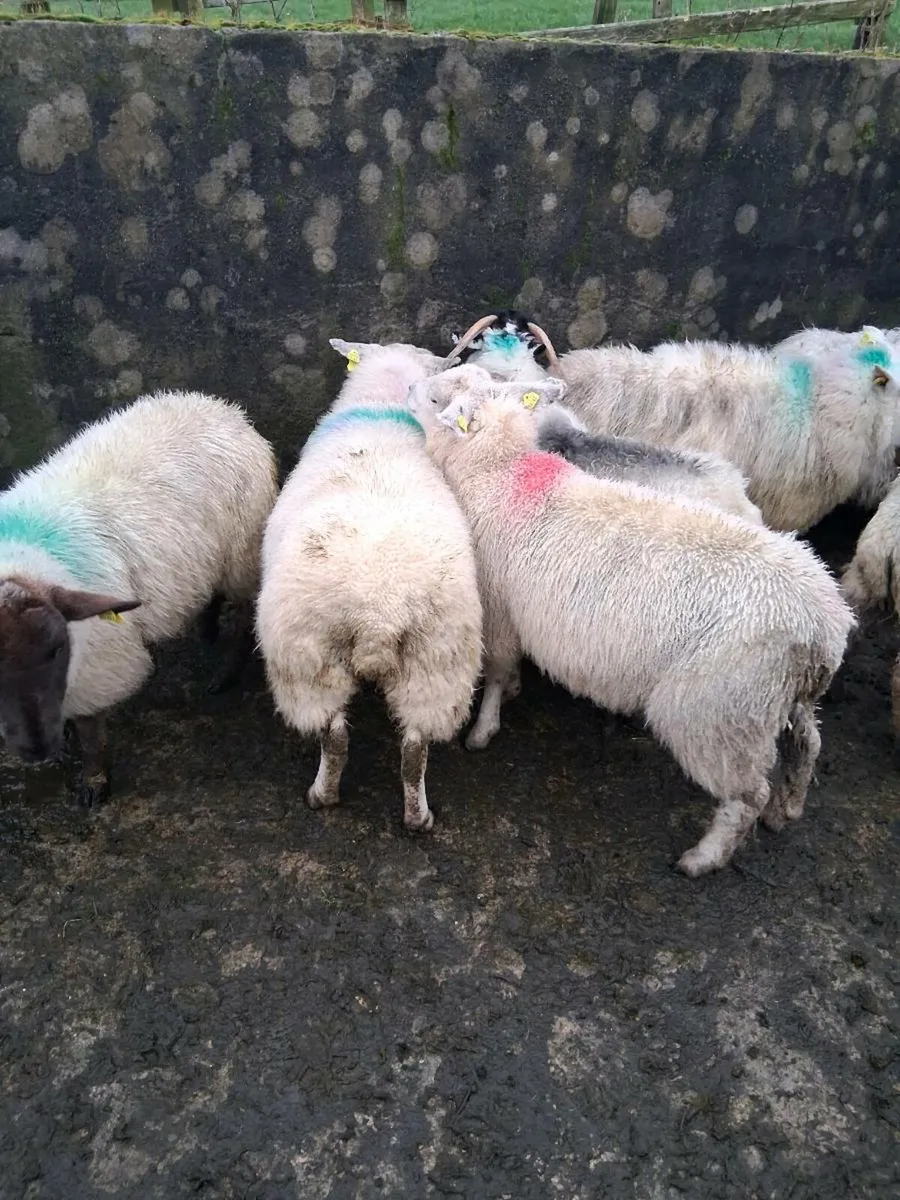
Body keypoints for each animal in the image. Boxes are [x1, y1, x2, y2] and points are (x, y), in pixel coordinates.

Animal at [0, 389, 278, 805]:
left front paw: (94, 782)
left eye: (56, 649)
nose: (38, 749)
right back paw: (207, 629)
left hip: (241, 552)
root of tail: (221, 407)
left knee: (246, 611)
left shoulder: (102, 659)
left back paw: (225, 675)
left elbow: (91, 729)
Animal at [255, 339, 482, 833]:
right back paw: (417, 816)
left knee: (335, 735)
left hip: (305, 657)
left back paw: (322, 795)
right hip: (437, 660)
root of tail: (379, 612)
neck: (379, 409)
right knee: (414, 747)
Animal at [407, 364, 855, 876]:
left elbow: (498, 673)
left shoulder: (501, 610)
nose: (409, 387)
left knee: (747, 795)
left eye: (437, 398)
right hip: (776, 698)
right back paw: (788, 809)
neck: (500, 473)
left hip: (720, 709)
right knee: (808, 743)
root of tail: (826, 625)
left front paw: (483, 729)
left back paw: (704, 857)